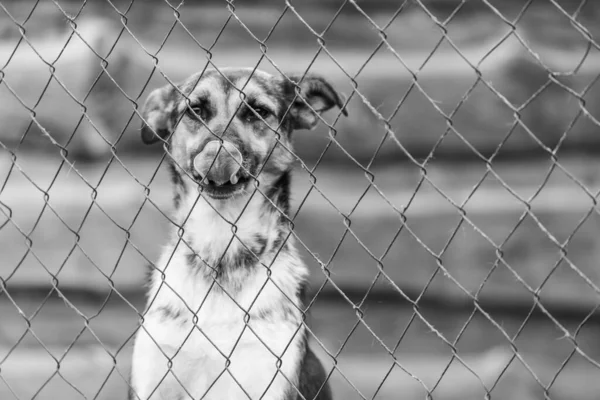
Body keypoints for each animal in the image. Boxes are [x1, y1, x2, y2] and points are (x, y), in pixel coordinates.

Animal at [131, 66, 346, 400]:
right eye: (196, 109)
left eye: (258, 111)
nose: (219, 150)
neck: (220, 250)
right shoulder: (153, 376)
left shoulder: (266, 377)